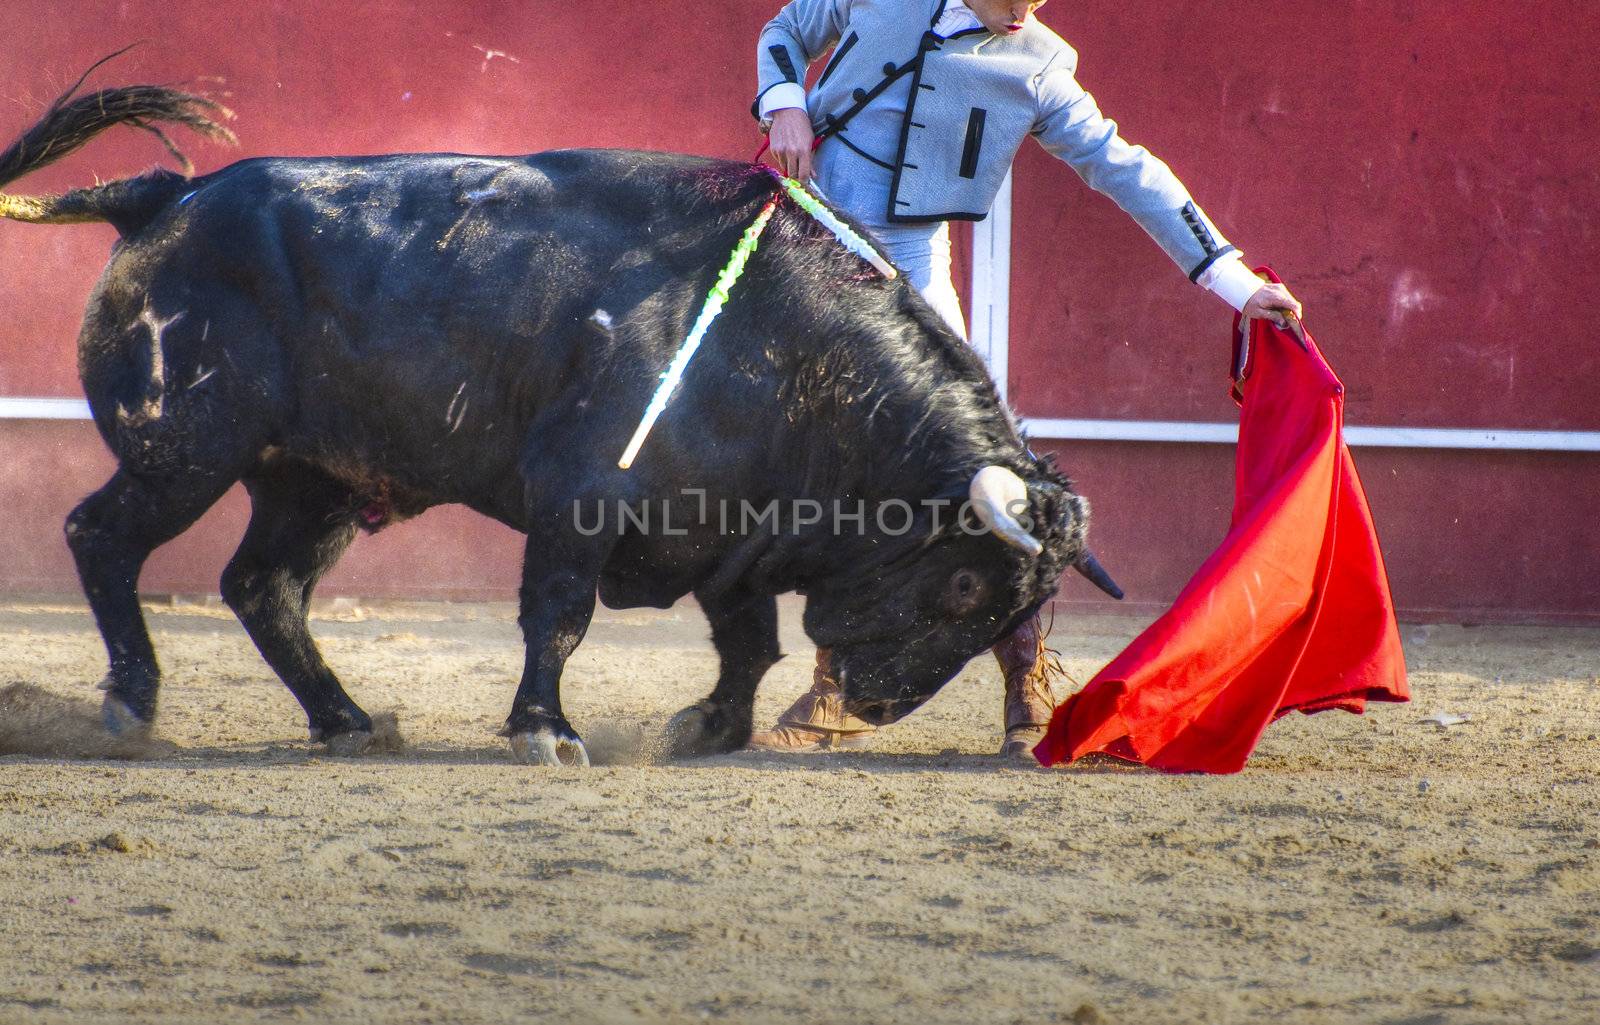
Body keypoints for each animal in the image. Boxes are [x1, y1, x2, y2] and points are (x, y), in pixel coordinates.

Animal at [0, 85, 1113, 761]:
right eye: (964, 583)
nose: (876, 706)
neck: (787, 349)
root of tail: (165, 198)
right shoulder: (580, 497)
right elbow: (560, 615)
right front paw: (546, 730)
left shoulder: (730, 531)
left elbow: (749, 643)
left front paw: (707, 726)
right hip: (183, 451)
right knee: (101, 537)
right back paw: (131, 704)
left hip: (312, 480)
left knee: (260, 586)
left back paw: (348, 720)